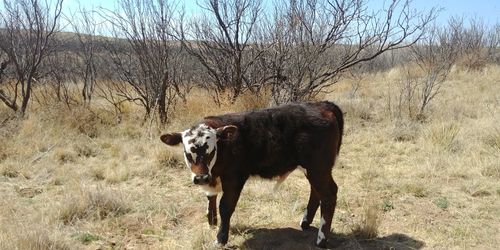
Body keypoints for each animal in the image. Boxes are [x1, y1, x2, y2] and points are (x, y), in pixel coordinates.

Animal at [160, 100, 344, 247]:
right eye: (187, 153)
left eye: (211, 151)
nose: (201, 178)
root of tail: (322, 105)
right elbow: (210, 199)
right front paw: (211, 221)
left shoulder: (235, 178)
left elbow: (225, 207)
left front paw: (221, 238)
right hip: (314, 170)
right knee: (316, 192)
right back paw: (305, 223)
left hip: (318, 167)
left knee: (329, 194)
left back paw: (321, 240)